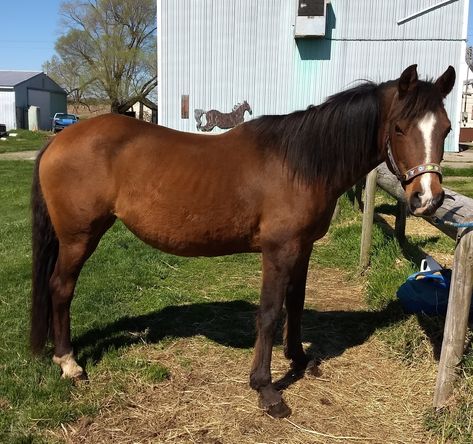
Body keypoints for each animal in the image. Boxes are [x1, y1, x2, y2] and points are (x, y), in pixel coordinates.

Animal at [30, 65, 454, 416]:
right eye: (399, 128)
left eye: (447, 129)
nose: (428, 199)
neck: (299, 163)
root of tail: (59, 140)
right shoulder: (278, 252)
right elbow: (268, 314)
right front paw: (266, 390)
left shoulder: (303, 248)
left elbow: (295, 304)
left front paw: (299, 359)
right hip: (79, 237)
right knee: (61, 287)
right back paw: (69, 362)